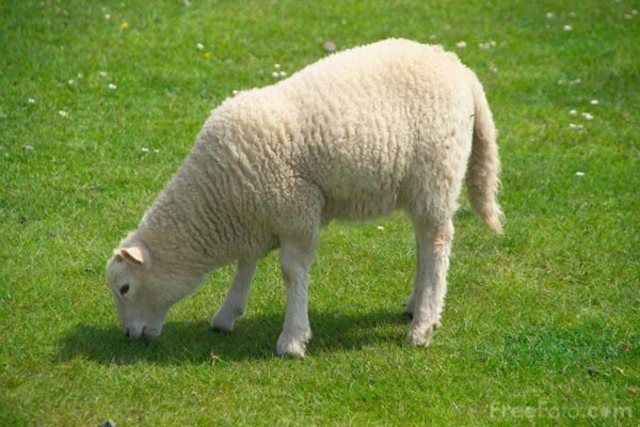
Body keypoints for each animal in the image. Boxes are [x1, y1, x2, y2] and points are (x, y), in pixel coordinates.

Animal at [106, 38, 503, 358]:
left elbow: (291, 273)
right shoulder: (257, 213)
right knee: (424, 243)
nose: (128, 336)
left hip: (436, 174)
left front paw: (293, 339)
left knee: (437, 244)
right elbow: (246, 263)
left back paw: (422, 325)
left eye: (125, 288)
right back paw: (415, 305)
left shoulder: (295, 212)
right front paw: (227, 313)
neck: (215, 198)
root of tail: (458, 67)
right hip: (419, 184)